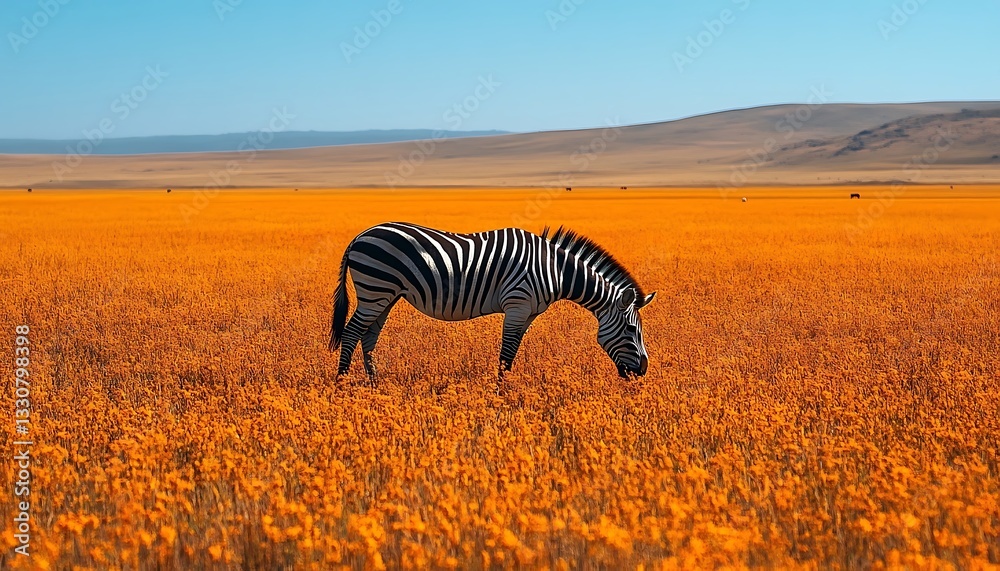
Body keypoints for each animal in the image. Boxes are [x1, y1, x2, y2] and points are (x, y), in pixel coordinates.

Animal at [328, 222, 656, 381]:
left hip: (386, 295)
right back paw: (342, 383)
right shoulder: (517, 304)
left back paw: (374, 383)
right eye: (631, 330)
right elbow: (506, 353)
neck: (556, 270)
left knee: (369, 335)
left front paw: (505, 386)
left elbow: (512, 352)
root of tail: (361, 234)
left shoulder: (528, 313)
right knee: (352, 332)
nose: (642, 371)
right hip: (375, 289)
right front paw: (501, 393)